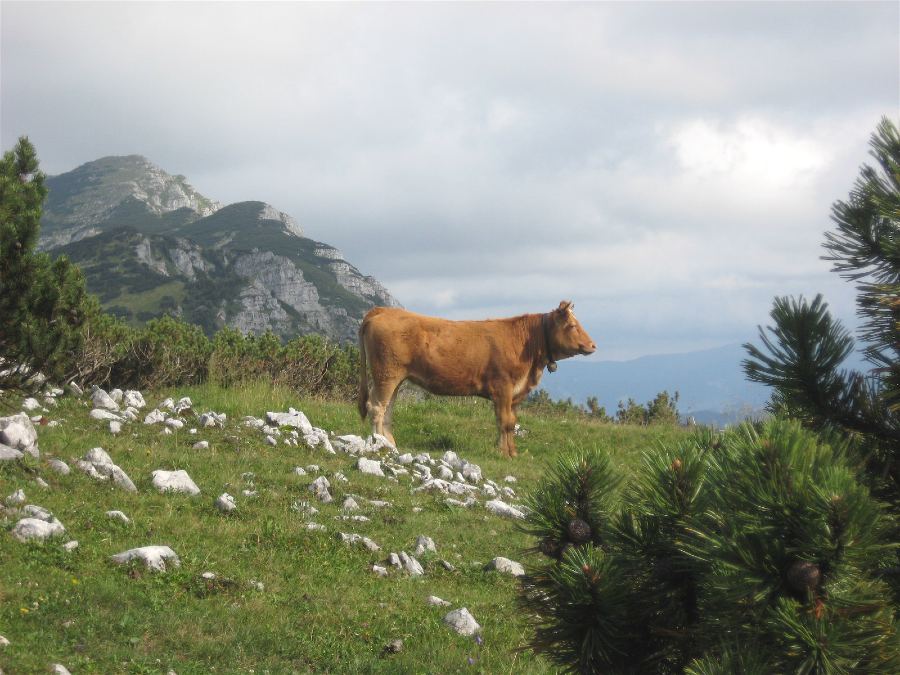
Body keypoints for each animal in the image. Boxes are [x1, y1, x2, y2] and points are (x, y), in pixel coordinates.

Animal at [358, 302, 596, 456]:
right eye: (572, 326)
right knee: (377, 406)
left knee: (387, 408)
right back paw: (379, 444)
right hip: (386, 373)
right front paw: (503, 453)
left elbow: (511, 423)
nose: (593, 345)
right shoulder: (503, 387)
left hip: (395, 377)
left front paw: (512, 452)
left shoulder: (515, 393)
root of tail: (382, 310)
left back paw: (390, 444)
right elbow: (504, 422)